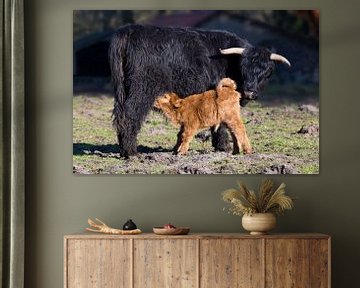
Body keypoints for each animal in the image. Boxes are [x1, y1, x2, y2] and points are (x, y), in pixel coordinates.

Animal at [109, 23, 290, 158]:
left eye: (266, 73)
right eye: (243, 68)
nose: (250, 93)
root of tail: (130, 30)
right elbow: (221, 123)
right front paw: (223, 146)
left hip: (122, 91)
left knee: (119, 115)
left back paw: (123, 150)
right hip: (142, 90)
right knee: (130, 115)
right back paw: (131, 152)